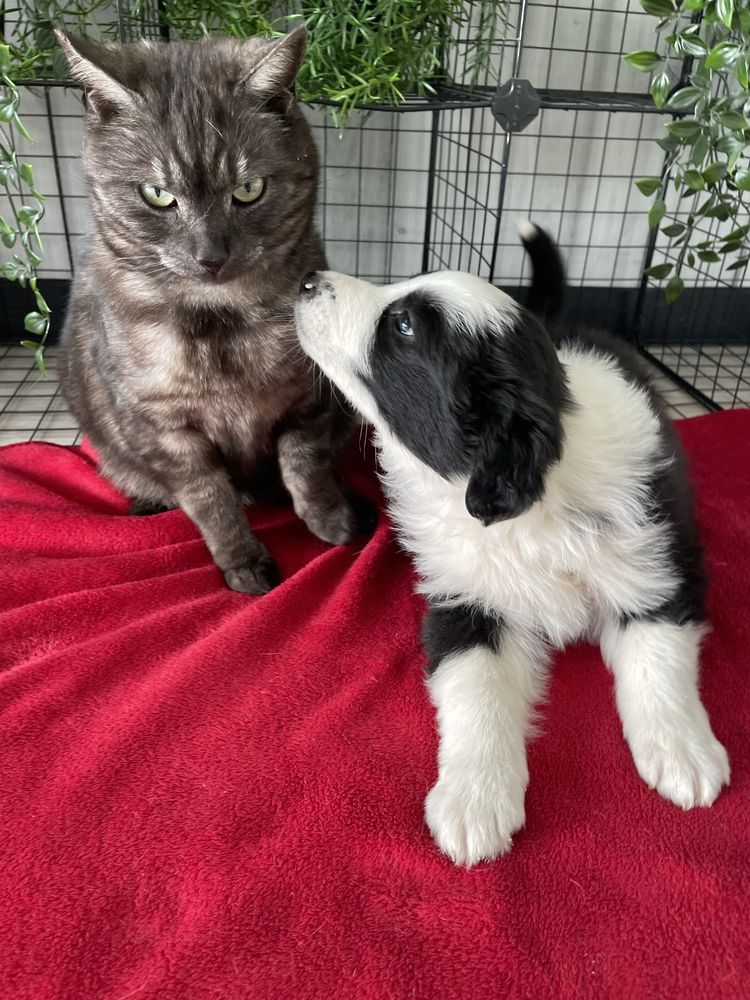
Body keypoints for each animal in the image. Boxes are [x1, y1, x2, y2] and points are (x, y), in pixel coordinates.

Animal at [54, 29, 368, 592]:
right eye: (157, 194)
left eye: (248, 189)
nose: (211, 255)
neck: (222, 321)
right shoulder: (166, 430)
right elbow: (211, 499)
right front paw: (243, 561)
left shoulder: (307, 400)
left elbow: (305, 466)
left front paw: (330, 518)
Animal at [296, 227, 732, 868]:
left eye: (403, 326)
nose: (306, 280)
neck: (539, 502)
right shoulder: (467, 598)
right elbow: (476, 690)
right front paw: (473, 801)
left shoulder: (658, 561)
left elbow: (660, 660)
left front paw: (684, 751)